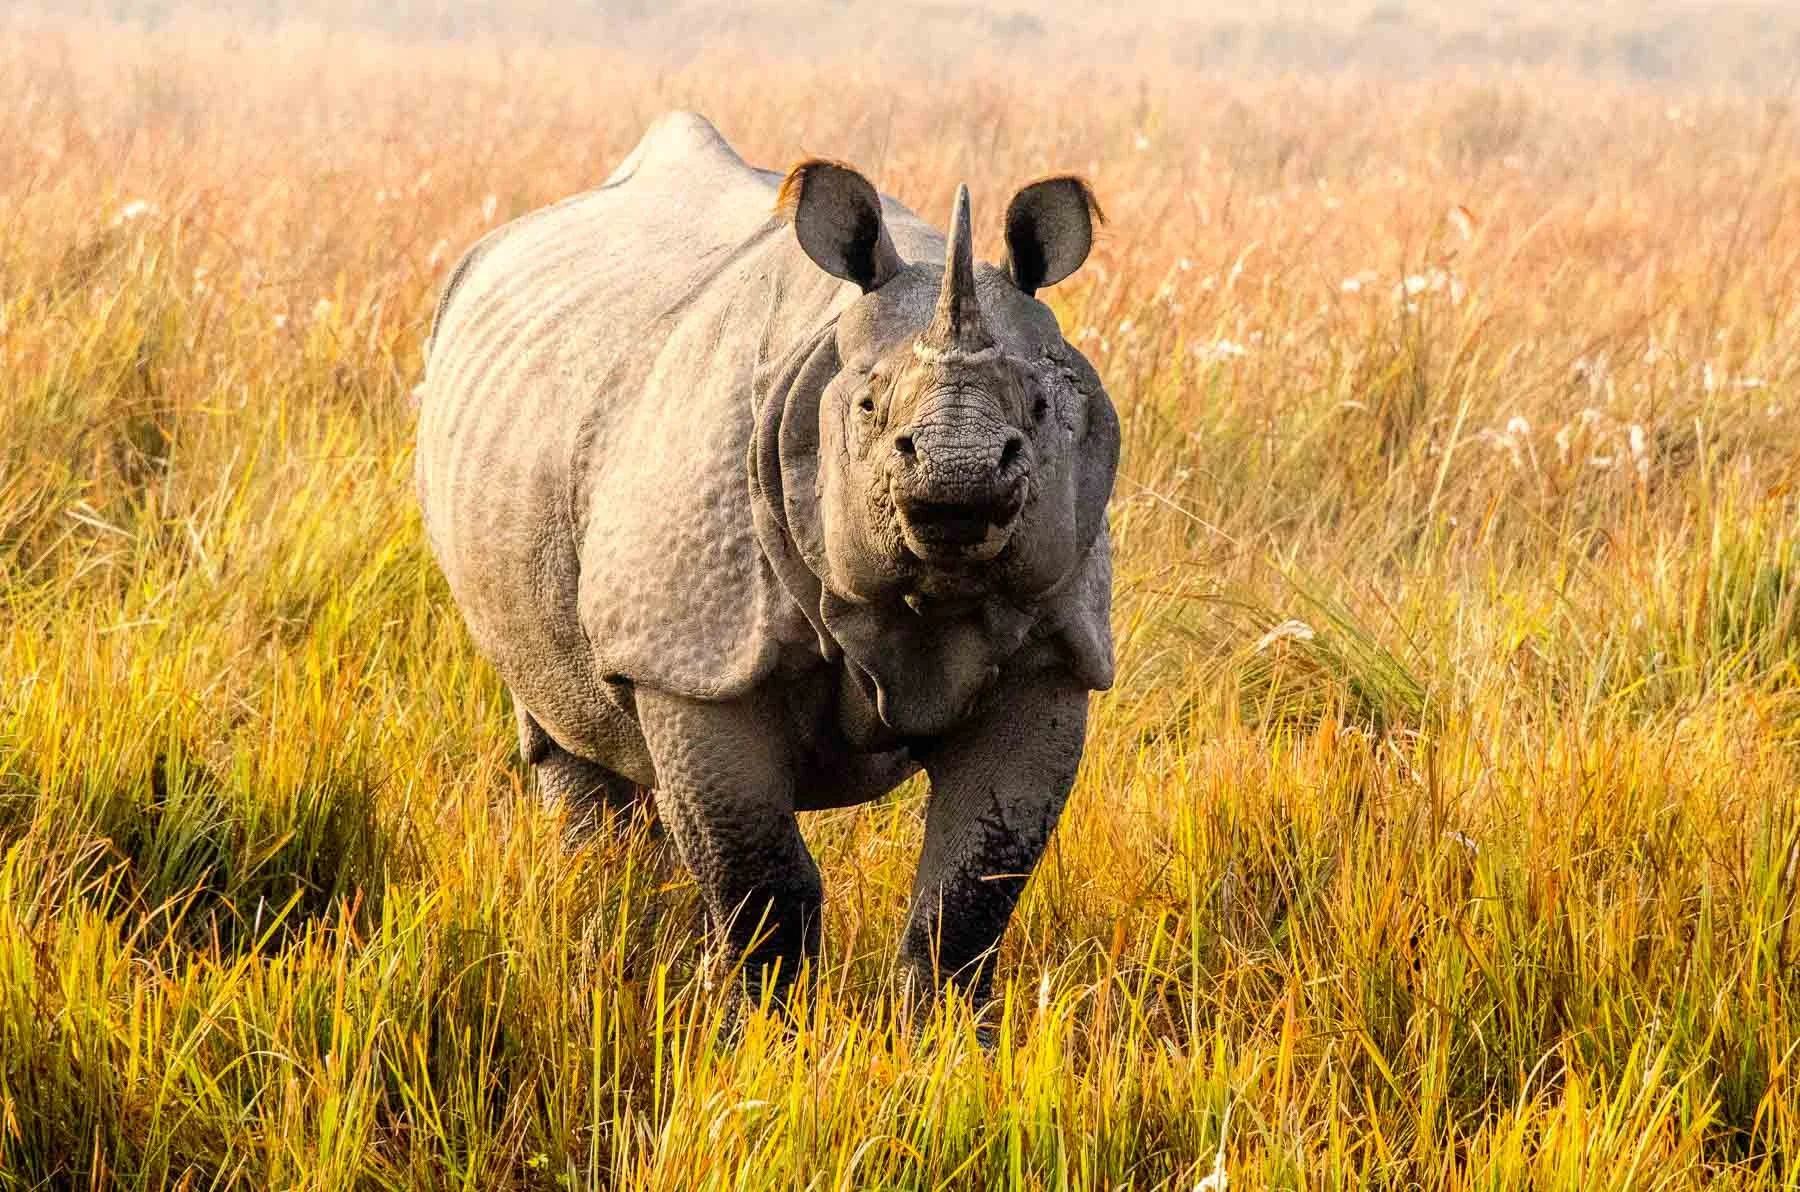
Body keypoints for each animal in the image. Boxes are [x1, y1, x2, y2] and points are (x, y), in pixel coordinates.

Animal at [414, 112, 1118, 1004]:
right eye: (867, 407)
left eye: (1038, 408)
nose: (957, 479)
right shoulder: (692, 655)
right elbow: (762, 888)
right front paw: (754, 1026)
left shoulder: (1056, 655)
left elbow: (969, 897)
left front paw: (946, 1034)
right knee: (564, 728)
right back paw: (607, 932)